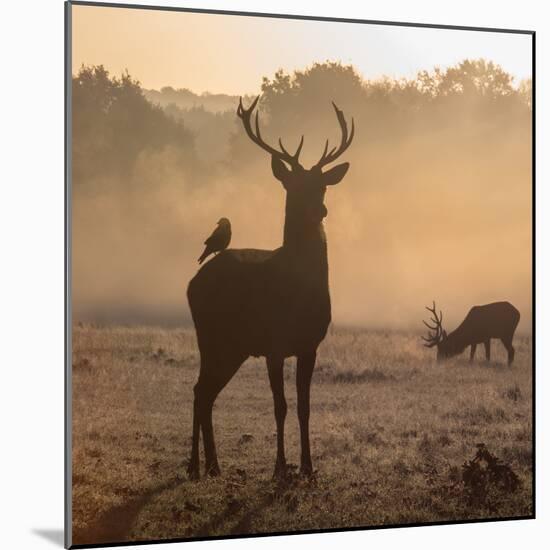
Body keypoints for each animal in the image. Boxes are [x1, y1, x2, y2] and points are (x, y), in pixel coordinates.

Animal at [188, 97, 356, 480]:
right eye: (292, 185)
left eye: (323, 184)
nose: (319, 209)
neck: (297, 292)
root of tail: (191, 283)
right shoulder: (274, 345)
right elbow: (279, 406)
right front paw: (280, 467)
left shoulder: (310, 345)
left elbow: (304, 406)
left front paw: (308, 467)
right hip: (211, 336)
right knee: (200, 391)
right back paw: (194, 466)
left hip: (231, 347)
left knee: (205, 392)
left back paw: (213, 466)